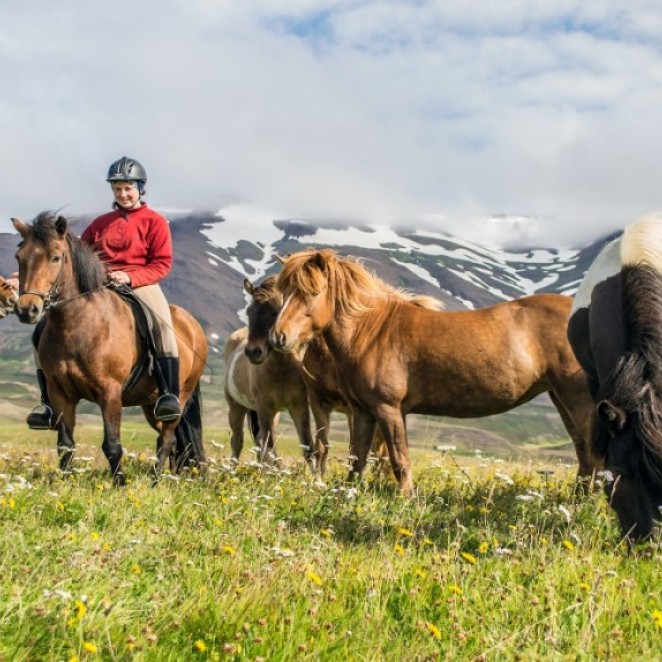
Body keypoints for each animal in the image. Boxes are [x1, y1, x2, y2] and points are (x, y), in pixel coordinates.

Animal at [12, 212, 207, 483]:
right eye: (19, 257)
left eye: (55, 257)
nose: (27, 309)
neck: (77, 325)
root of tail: (193, 326)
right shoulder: (60, 394)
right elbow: (65, 445)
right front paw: (64, 483)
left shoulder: (110, 392)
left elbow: (112, 445)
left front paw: (120, 484)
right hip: (150, 405)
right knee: (171, 440)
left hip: (179, 396)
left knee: (167, 438)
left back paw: (156, 481)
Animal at [224, 326, 320, 473]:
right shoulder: (264, 408)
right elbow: (268, 449)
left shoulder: (298, 406)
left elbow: (307, 446)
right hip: (236, 408)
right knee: (238, 441)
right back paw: (232, 470)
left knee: (260, 442)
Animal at [269, 249, 595, 494]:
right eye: (284, 292)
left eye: (313, 291)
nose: (278, 337)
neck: (370, 330)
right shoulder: (363, 412)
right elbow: (357, 460)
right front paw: (346, 496)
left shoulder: (388, 409)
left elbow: (398, 460)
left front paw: (406, 500)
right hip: (560, 398)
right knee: (584, 453)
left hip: (577, 398)